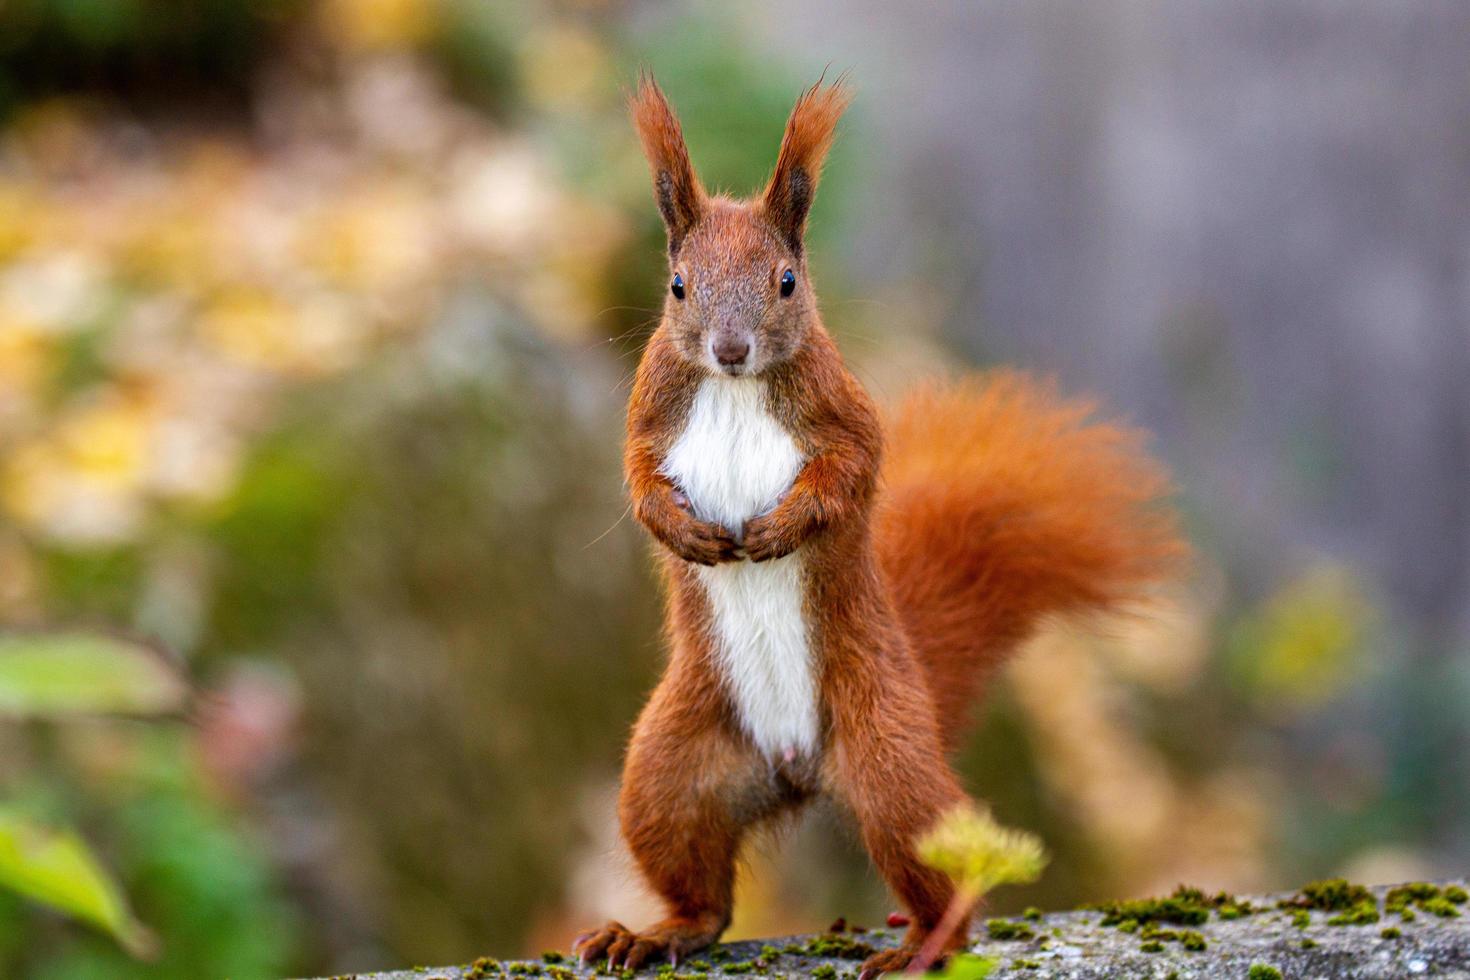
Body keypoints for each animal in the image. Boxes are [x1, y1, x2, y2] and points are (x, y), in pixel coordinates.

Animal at [573, 78, 1181, 980]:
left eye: (788, 280)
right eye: (678, 285)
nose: (729, 348)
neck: (737, 391)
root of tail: (798, 771)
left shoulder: (845, 418)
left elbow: (847, 476)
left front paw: (779, 529)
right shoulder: (649, 415)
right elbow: (640, 480)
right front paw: (686, 534)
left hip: (888, 761)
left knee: (946, 875)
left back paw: (924, 943)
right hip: (669, 773)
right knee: (704, 893)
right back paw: (654, 933)